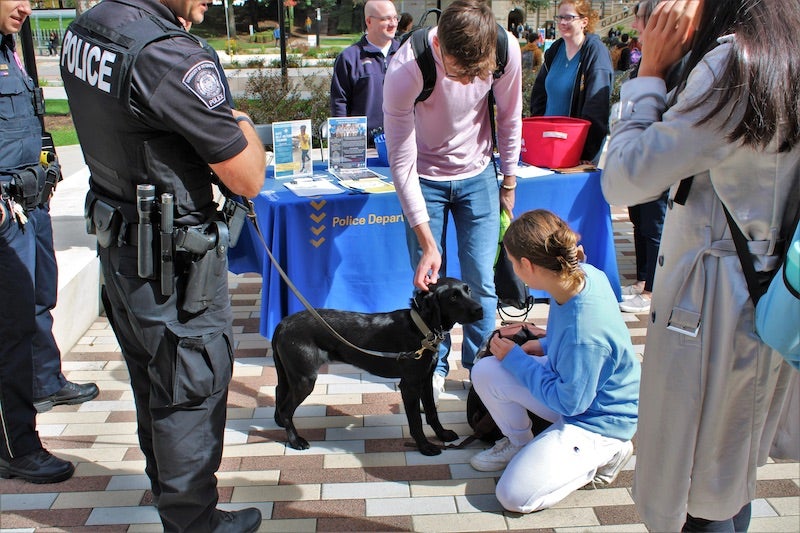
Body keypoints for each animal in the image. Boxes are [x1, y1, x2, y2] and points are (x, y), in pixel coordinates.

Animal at [270, 276, 482, 456]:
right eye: (453, 297)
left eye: (468, 291)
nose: (480, 309)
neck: (421, 328)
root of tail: (282, 324)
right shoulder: (410, 385)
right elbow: (416, 420)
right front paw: (425, 446)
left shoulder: (426, 378)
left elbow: (431, 412)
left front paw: (442, 434)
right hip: (305, 379)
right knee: (287, 408)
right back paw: (295, 441)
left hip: (291, 374)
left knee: (279, 390)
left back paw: (280, 422)